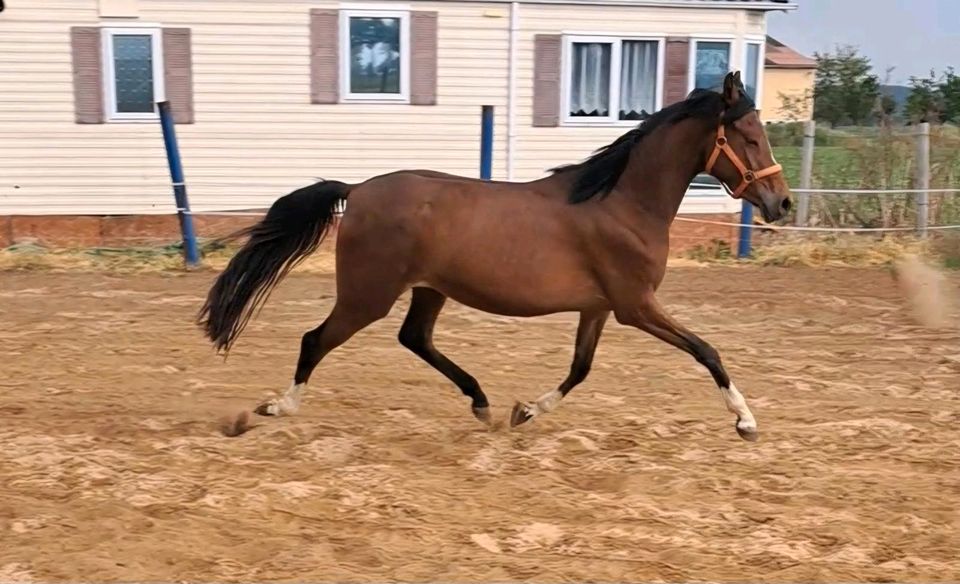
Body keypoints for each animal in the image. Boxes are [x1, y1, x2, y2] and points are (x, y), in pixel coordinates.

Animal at [199, 70, 792, 440]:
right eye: (748, 134)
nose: (781, 203)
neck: (623, 202)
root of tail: (360, 189)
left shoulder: (600, 307)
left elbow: (580, 369)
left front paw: (524, 410)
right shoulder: (636, 305)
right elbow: (707, 351)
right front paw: (746, 422)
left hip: (427, 289)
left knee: (414, 339)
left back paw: (482, 403)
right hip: (369, 294)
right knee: (316, 339)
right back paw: (276, 406)